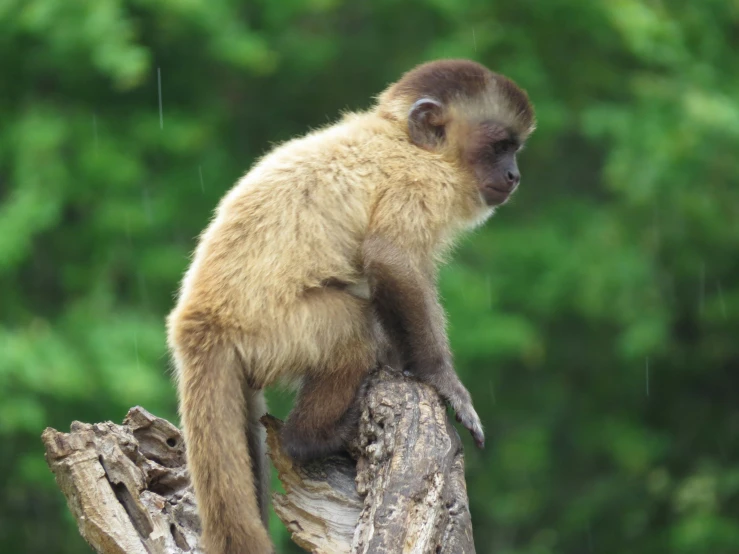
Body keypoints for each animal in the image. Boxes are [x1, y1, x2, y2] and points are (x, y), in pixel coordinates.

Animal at [168, 59, 536, 552]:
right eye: (500, 147)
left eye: (514, 150)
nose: (514, 175)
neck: (403, 139)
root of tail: (197, 325)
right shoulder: (421, 180)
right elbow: (389, 258)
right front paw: (442, 381)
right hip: (274, 330)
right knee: (356, 328)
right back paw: (308, 439)